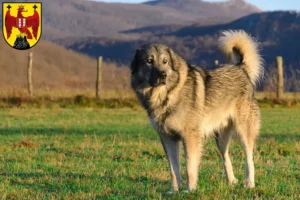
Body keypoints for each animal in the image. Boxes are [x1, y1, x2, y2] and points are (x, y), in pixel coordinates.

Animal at [130, 30, 262, 193]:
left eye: (165, 61)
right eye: (149, 61)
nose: (163, 75)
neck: (166, 95)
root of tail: (241, 68)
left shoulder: (190, 137)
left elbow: (189, 167)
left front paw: (190, 190)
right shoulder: (168, 138)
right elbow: (173, 169)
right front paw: (174, 191)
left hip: (243, 132)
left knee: (249, 158)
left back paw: (249, 183)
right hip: (221, 139)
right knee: (226, 158)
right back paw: (231, 181)